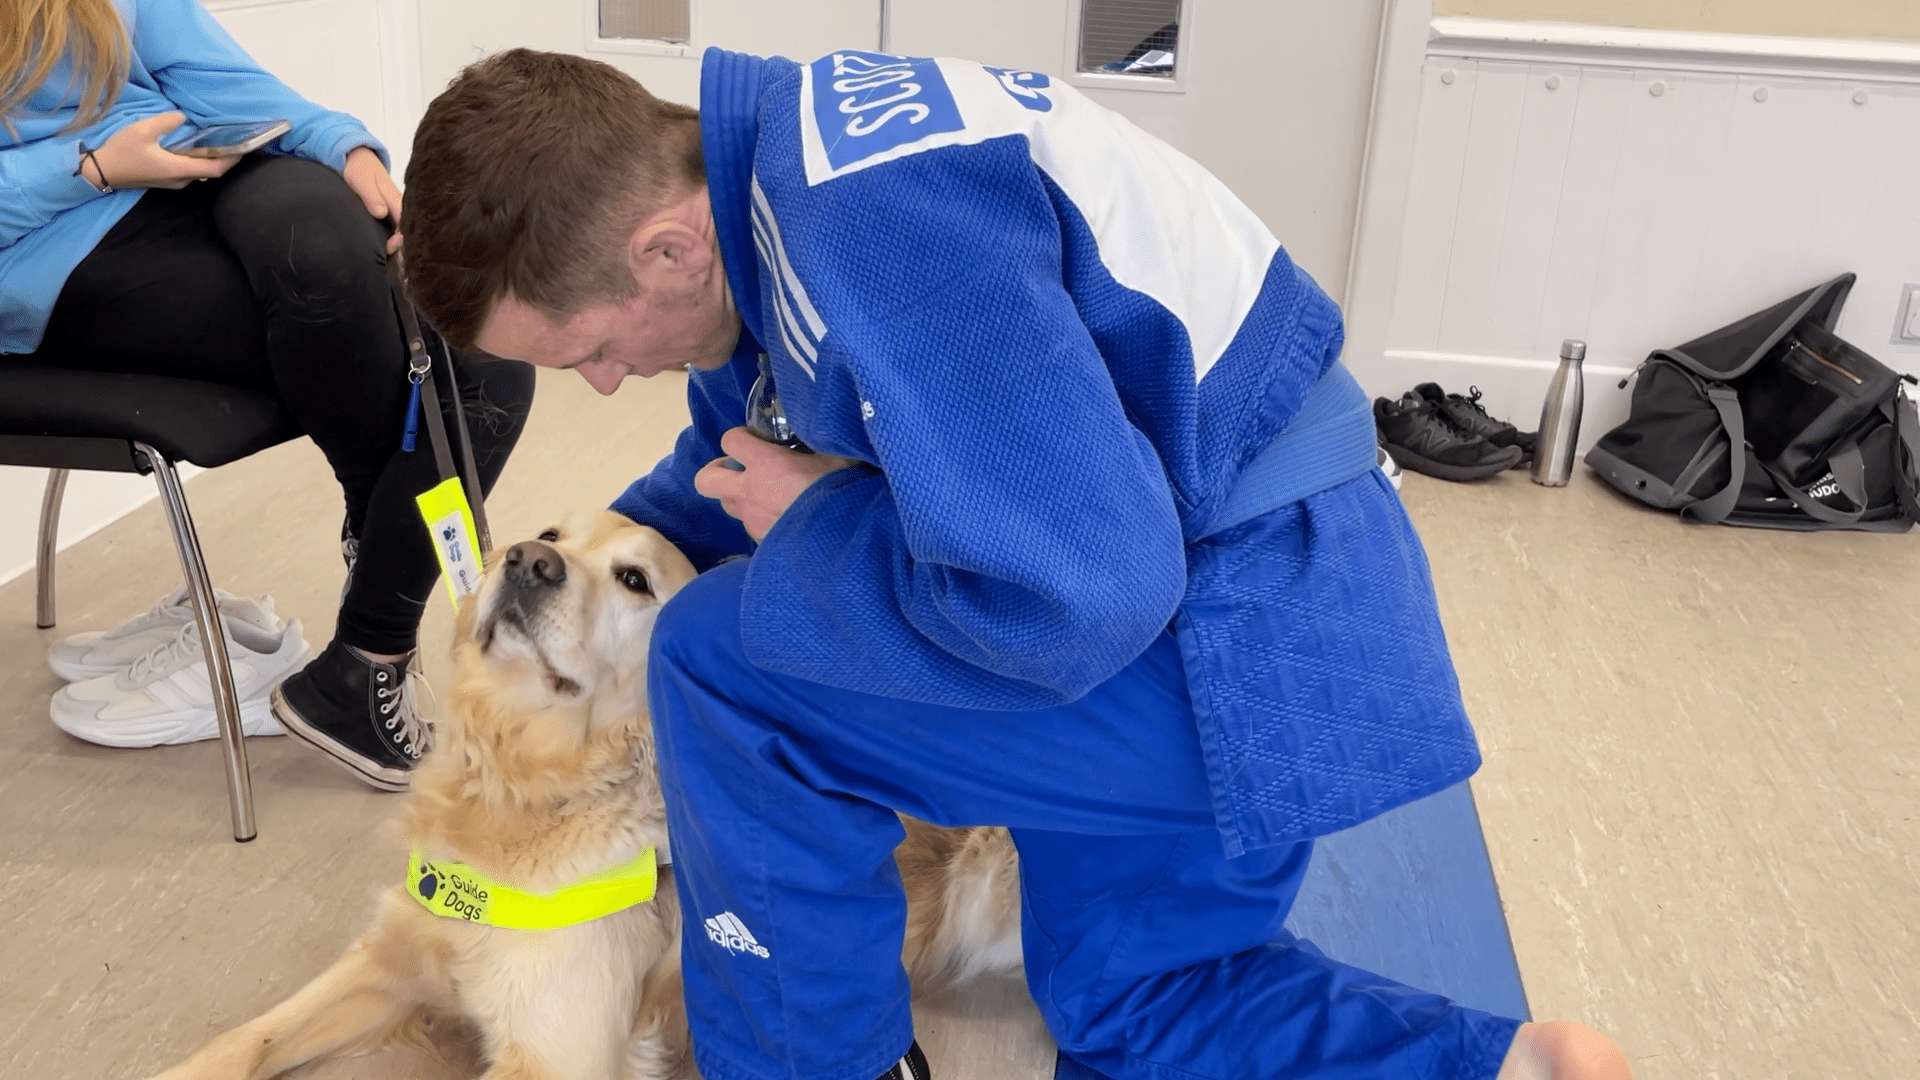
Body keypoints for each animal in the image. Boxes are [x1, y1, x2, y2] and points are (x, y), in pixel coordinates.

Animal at [149, 507, 1021, 1076]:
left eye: (634, 579)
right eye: (553, 533)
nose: (527, 561)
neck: (528, 793)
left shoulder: (557, 1054)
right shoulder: (390, 958)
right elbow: (246, 1039)